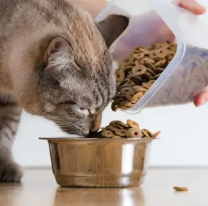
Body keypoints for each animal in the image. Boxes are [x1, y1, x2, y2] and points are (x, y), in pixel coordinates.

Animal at [0, 0, 129, 181]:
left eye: (104, 107)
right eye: (83, 109)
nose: (95, 130)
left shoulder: (9, 100)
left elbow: (5, 133)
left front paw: (6, 165)